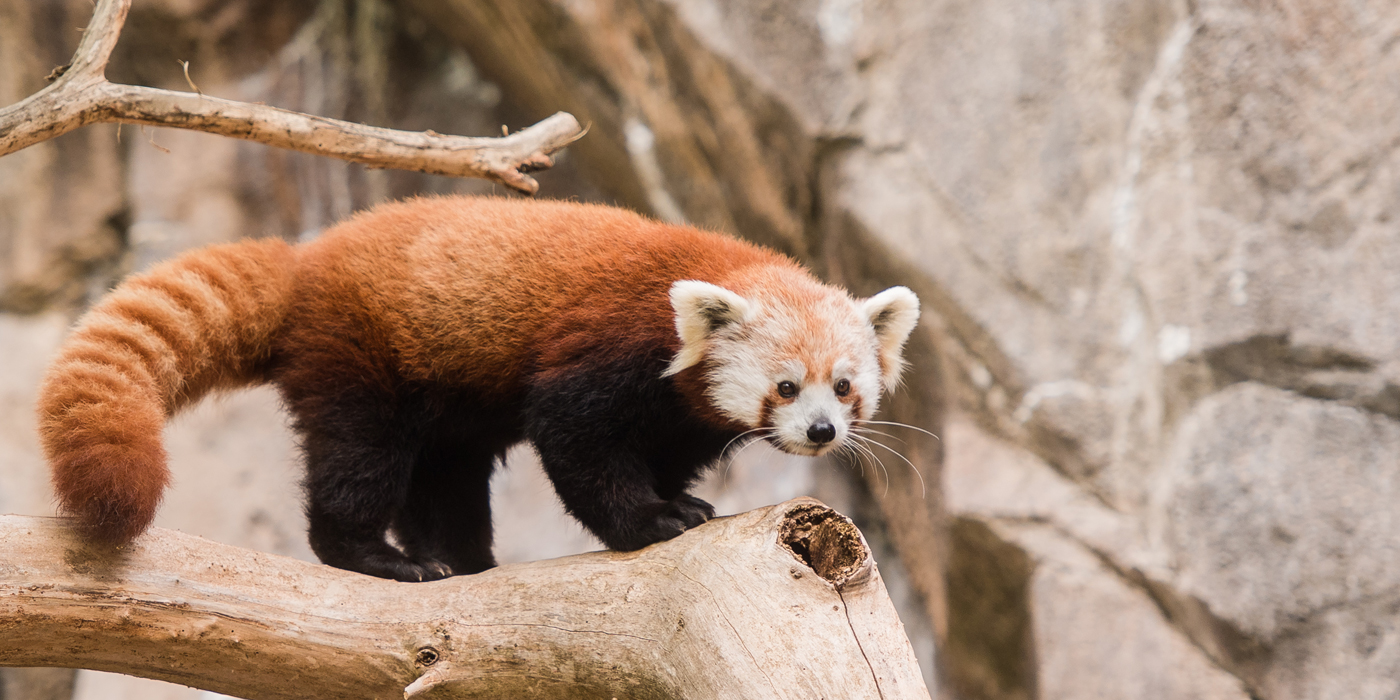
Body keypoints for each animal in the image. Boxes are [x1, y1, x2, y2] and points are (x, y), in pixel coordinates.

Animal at [38, 196, 918, 579]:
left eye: (844, 389)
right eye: (786, 386)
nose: (821, 433)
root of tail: (306, 260)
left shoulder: (679, 412)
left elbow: (669, 451)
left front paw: (682, 499)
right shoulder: (602, 351)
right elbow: (577, 443)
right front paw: (650, 521)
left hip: (441, 397)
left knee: (445, 476)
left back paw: (460, 556)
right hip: (362, 352)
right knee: (359, 460)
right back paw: (376, 556)